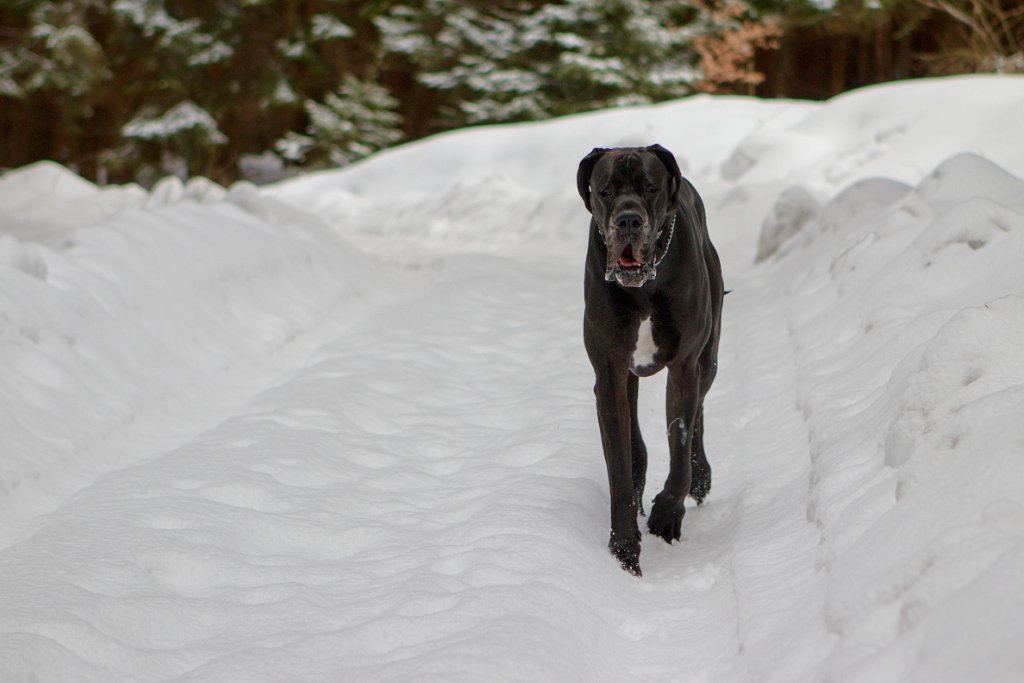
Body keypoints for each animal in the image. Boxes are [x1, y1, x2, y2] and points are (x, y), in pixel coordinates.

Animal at [577, 145, 729, 577]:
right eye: (605, 190)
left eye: (651, 187)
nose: (629, 219)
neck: (644, 287)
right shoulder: (609, 373)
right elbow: (621, 462)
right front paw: (624, 545)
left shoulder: (684, 366)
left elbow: (680, 447)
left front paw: (667, 514)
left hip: (708, 359)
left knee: (698, 413)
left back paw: (700, 479)